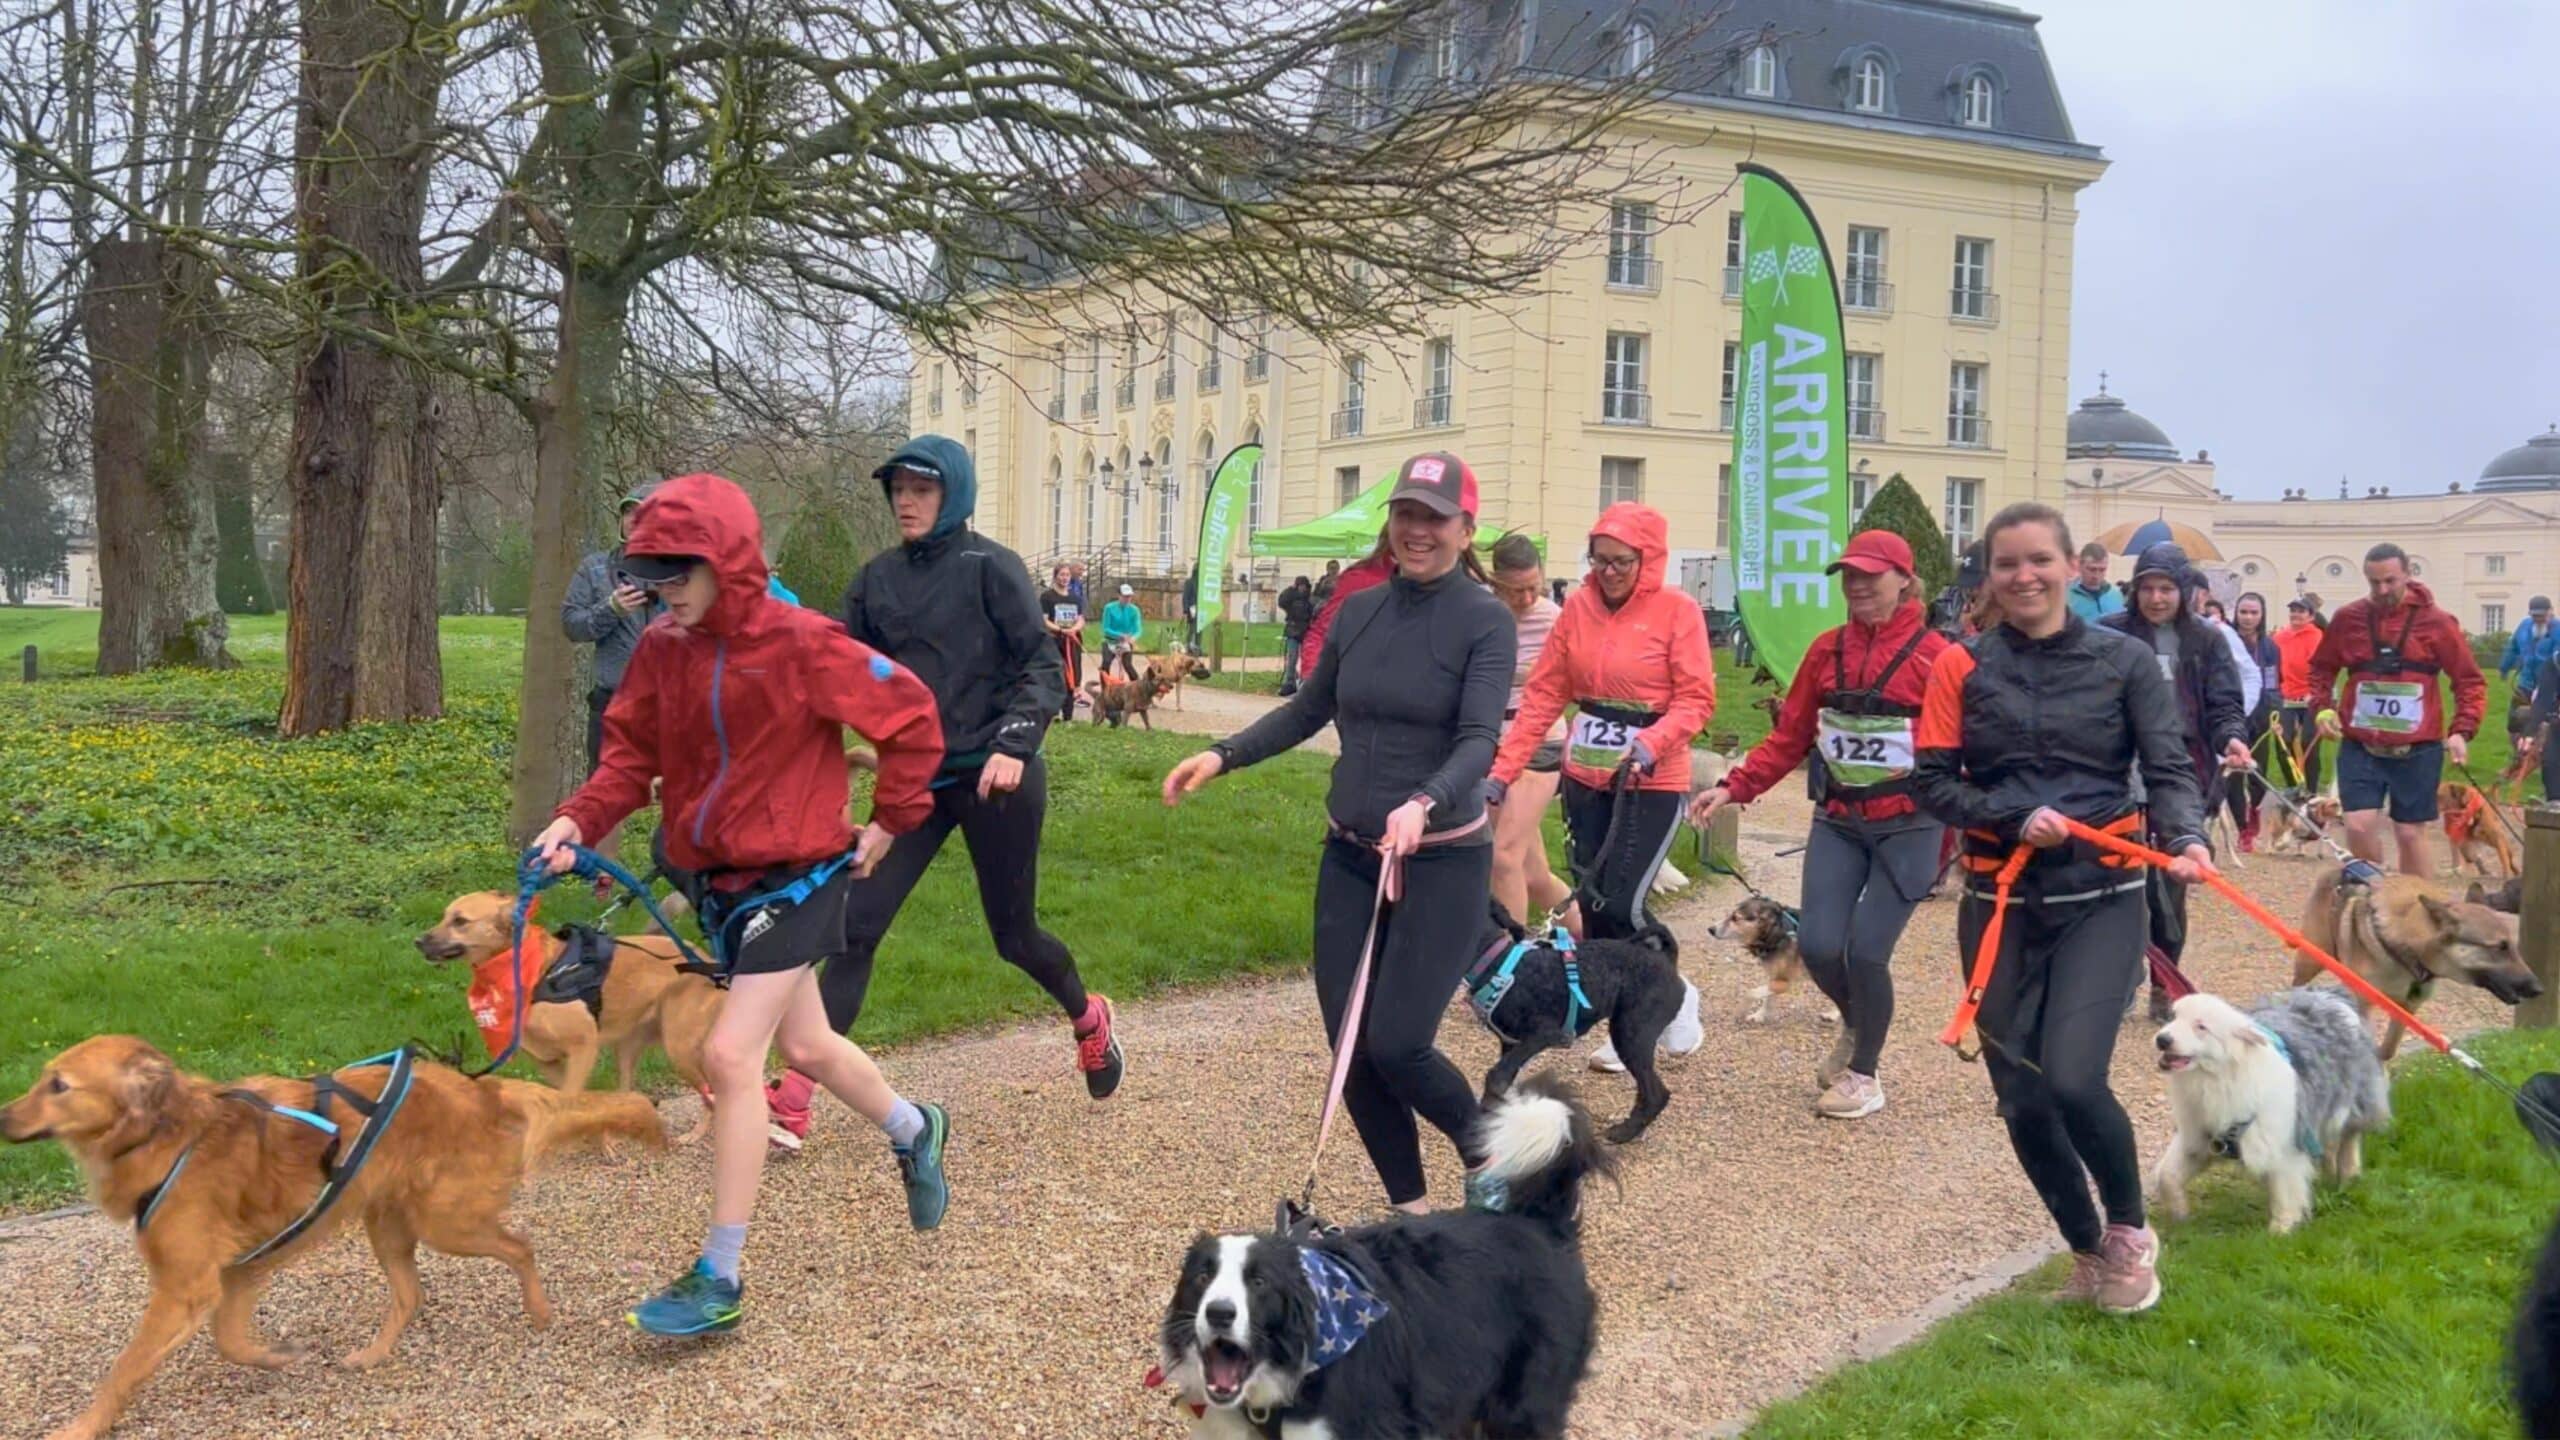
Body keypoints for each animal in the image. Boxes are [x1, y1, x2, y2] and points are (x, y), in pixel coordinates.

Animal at [2, 1030, 660, 1434]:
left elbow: (124, 1369)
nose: (2, 1116)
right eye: (44, 1080)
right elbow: (230, 1340)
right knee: (411, 1294)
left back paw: (540, 1313)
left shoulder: (187, 1286)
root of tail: (481, 1089)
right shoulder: (240, 1270)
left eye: (59, 1086)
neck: (168, 1134)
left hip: (446, 1222)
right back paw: (371, 1355)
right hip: (387, 1222)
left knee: (521, 1247)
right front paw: (279, 1357)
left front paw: (82, 1427)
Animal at [414, 886, 721, 1132]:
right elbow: (574, 1099)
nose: (417, 941)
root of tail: (704, 958)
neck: (537, 974)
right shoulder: (547, 1060)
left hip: (678, 1048)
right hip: (628, 1048)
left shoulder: (583, 1048)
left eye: (460, 921)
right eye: (444, 916)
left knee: (711, 1095)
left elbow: (569, 1101)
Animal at [1474, 896, 1689, 1142]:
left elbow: (1496, 1077)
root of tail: (1666, 960)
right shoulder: (1510, 1044)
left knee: (1656, 1093)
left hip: (1630, 1034)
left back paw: (1625, 1132)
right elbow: (1504, 1079)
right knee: (1646, 1092)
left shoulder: (1545, 1034)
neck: (1497, 963)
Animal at [2150, 983, 2385, 1235]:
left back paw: (2349, 1172)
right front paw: (2179, 1213)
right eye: (2173, 1016)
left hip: (2351, 1100)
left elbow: (2285, 1192)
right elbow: (2167, 1176)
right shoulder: (2199, 1137)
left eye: (2201, 1026)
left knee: (2350, 1135)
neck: (2216, 1079)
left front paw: (2280, 1231)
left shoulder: (2283, 1144)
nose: (2162, 1039)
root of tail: (2330, 995)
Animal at [2283, 860, 2539, 1055]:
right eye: (2501, 947)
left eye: (2512, 945)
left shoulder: (2408, 1007)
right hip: (2310, 960)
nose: (2539, 989)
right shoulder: (2366, 1002)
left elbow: (2387, 1050)